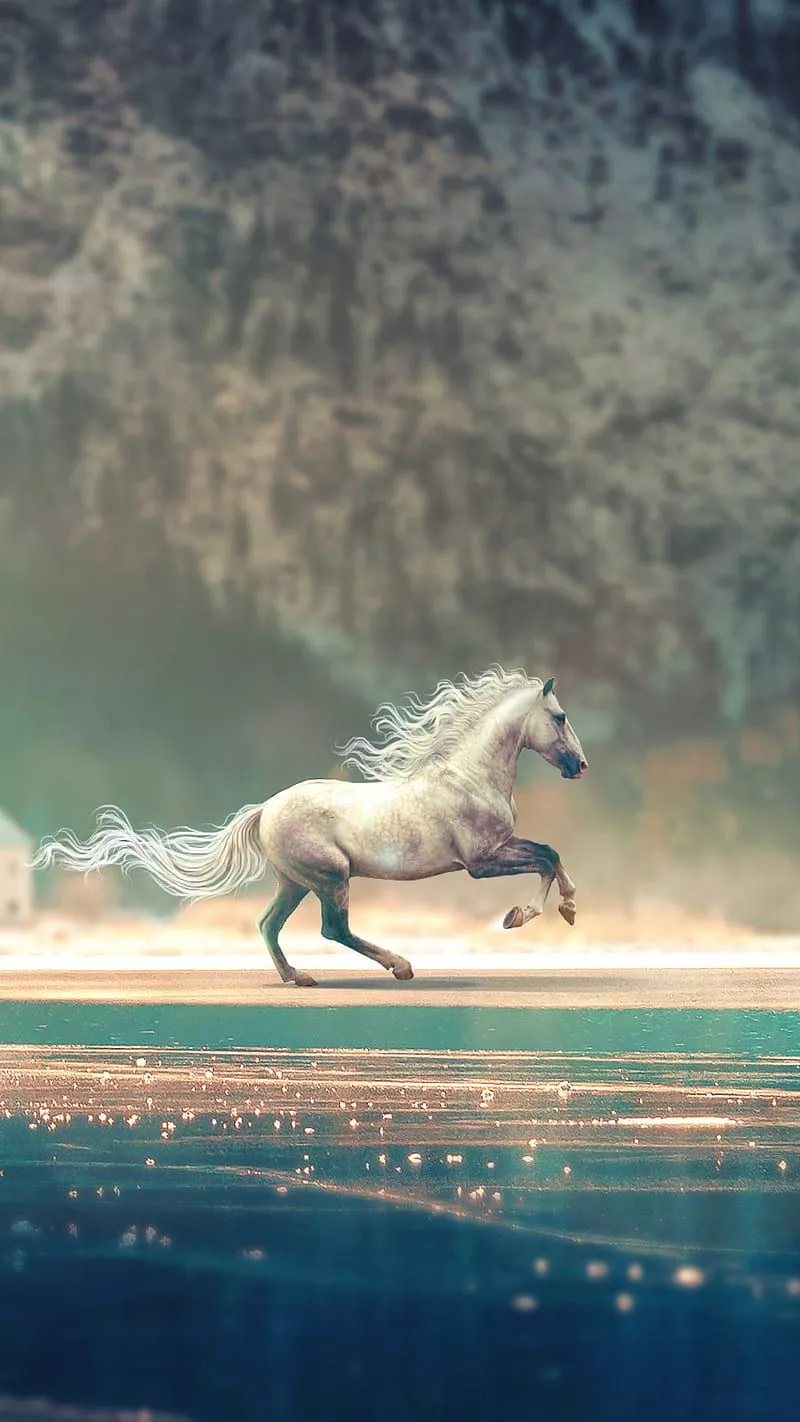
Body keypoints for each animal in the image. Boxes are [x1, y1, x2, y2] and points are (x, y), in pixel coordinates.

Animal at [32, 666, 588, 986]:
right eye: (559, 717)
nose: (579, 767)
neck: (469, 775)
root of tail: (265, 809)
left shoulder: (497, 849)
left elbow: (550, 853)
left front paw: (558, 910)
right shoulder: (480, 860)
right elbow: (549, 855)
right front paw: (532, 914)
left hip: (295, 882)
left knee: (268, 924)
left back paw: (298, 978)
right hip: (330, 878)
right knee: (332, 928)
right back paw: (400, 967)